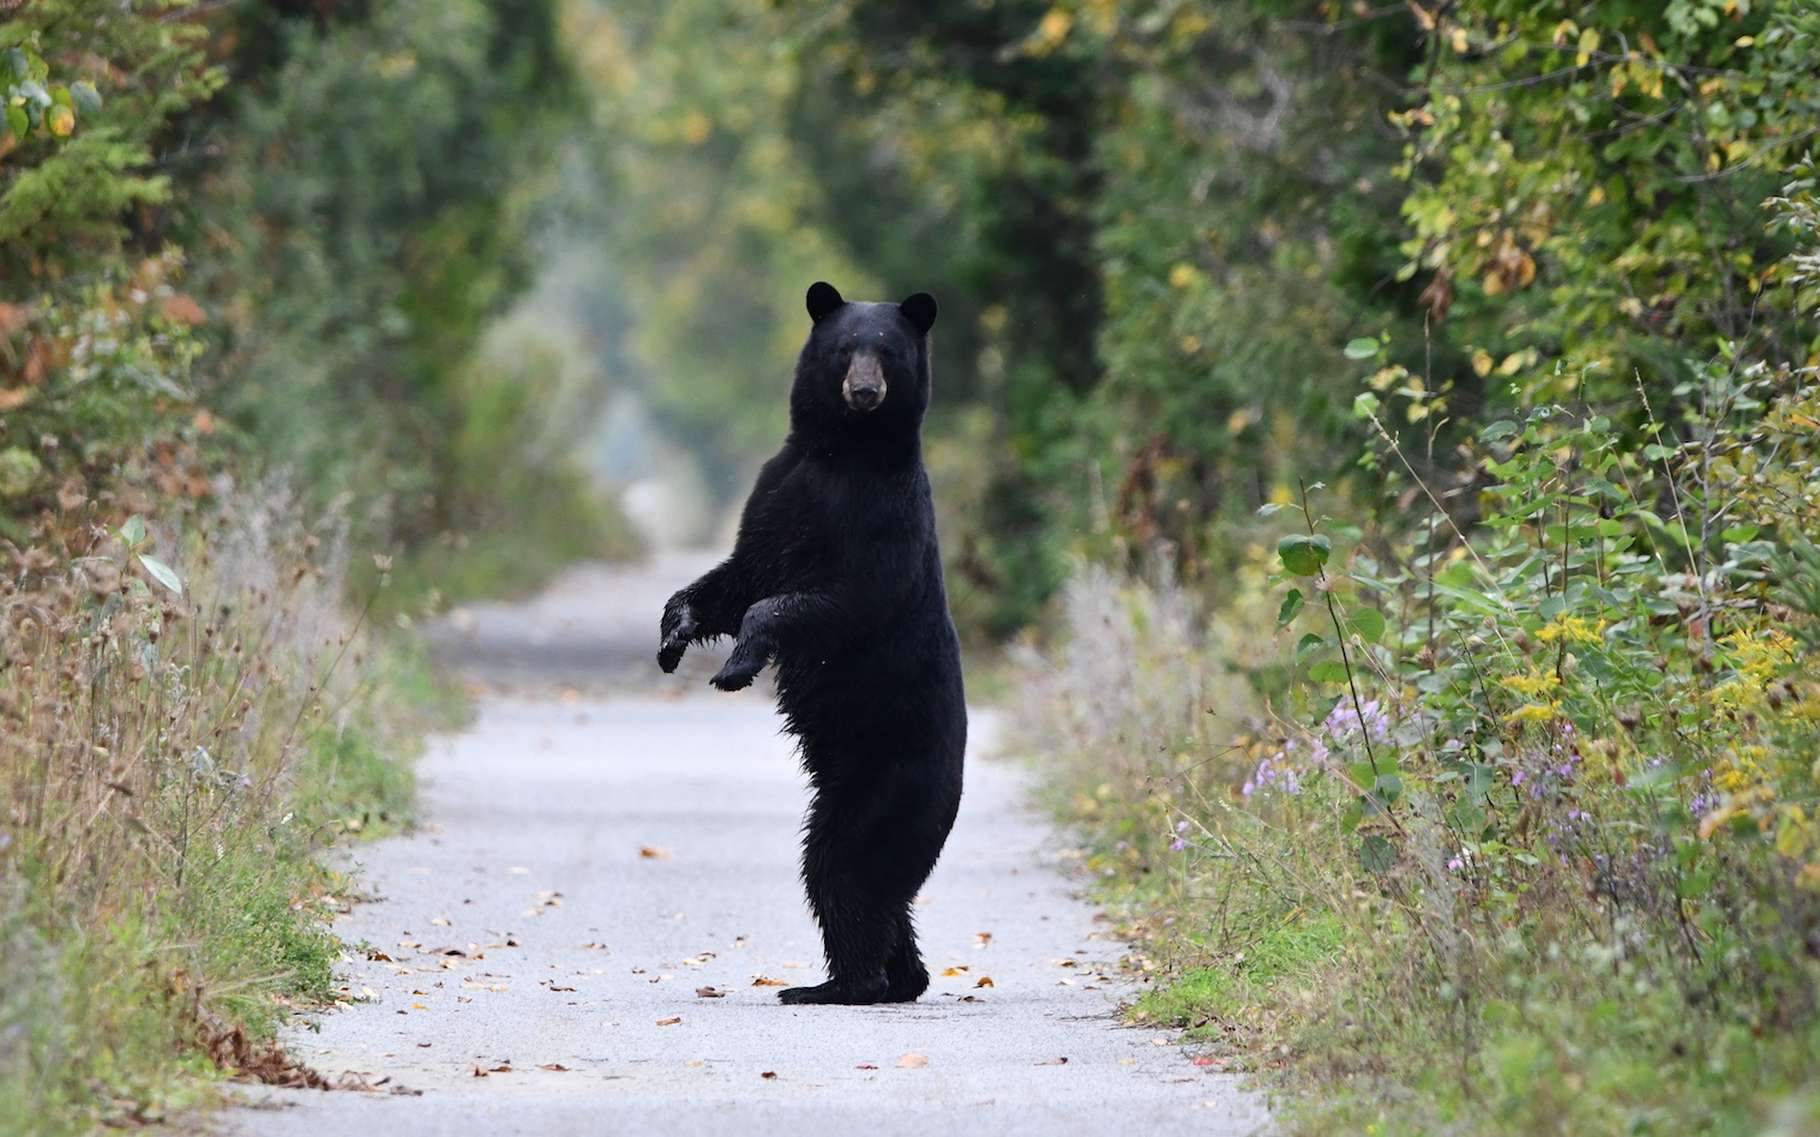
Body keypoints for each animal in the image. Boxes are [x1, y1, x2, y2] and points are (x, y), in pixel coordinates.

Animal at [655, 281, 968, 1004]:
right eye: (844, 347)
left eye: (887, 350)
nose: (865, 390)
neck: (842, 452)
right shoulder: (778, 488)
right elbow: (738, 577)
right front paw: (674, 634)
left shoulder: (882, 518)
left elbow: (829, 598)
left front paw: (736, 667)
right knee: (874, 891)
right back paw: (899, 976)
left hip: (887, 786)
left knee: (845, 871)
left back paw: (838, 983)